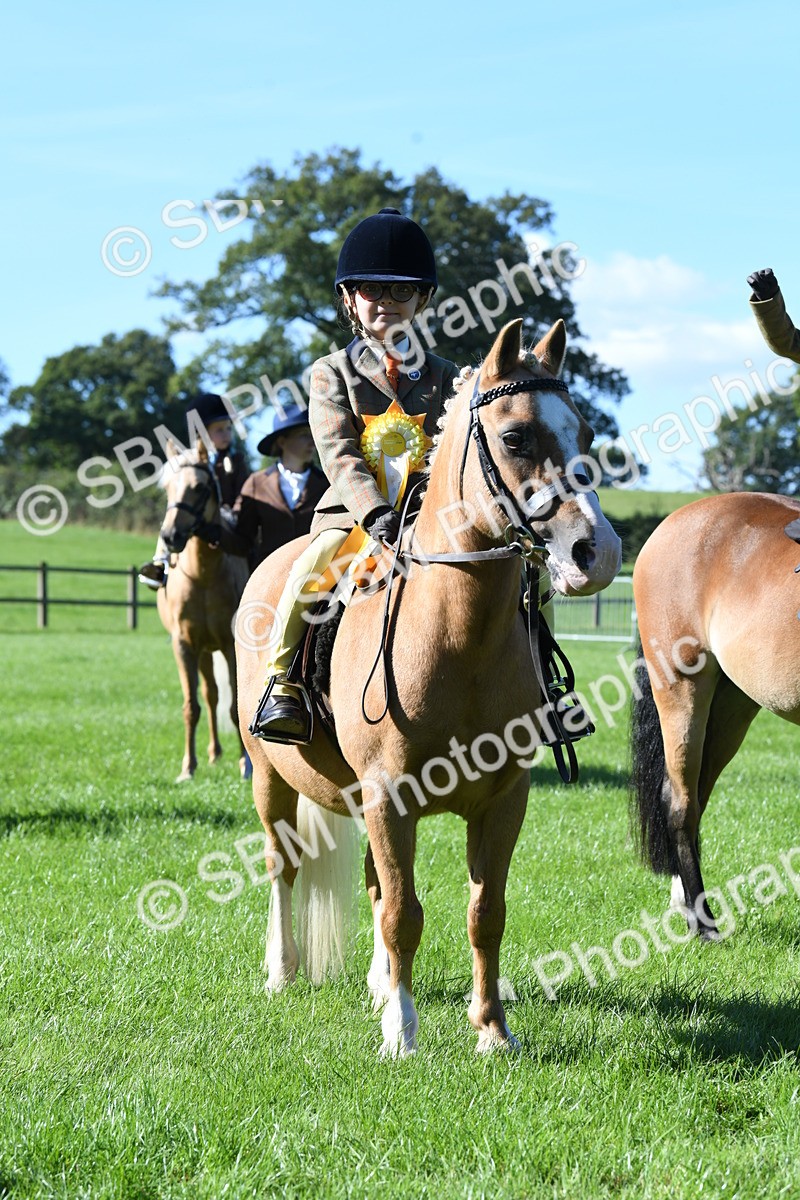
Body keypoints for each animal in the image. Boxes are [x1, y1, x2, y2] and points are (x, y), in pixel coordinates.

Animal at [157, 442, 251, 783]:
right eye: (167, 488)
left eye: (199, 488)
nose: (171, 536)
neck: (203, 576)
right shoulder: (184, 645)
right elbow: (191, 706)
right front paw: (188, 767)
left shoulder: (230, 645)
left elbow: (236, 706)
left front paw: (245, 765)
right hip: (202, 652)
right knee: (210, 696)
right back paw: (212, 754)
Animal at [236, 318, 622, 1056]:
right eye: (515, 438)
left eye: (586, 434)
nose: (599, 554)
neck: (457, 633)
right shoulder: (390, 799)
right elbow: (403, 913)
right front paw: (402, 1035)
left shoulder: (502, 799)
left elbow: (484, 912)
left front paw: (493, 1032)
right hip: (270, 778)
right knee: (282, 866)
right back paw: (281, 971)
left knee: (372, 881)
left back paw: (378, 983)